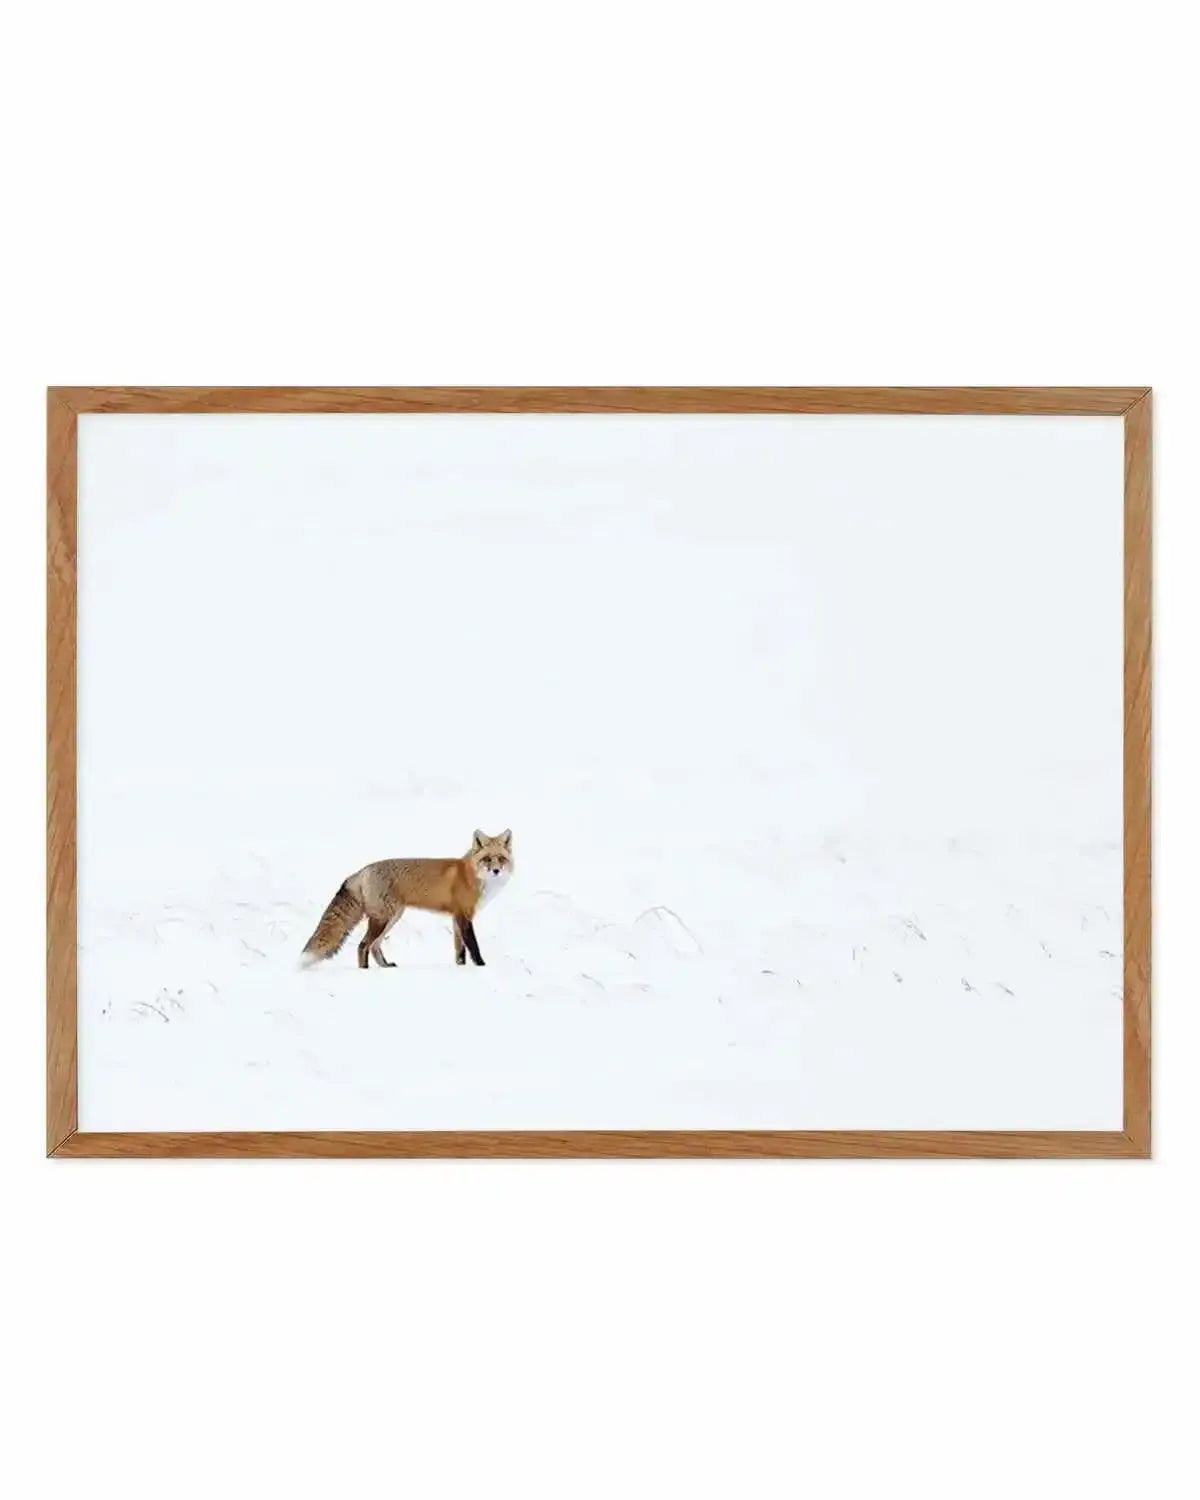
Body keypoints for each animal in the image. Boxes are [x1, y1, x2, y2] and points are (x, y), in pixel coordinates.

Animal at [301, 829, 513, 970]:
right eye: (487, 859)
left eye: (501, 859)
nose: (496, 871)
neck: (473, 876)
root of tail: (362, 871)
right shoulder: (463, 915)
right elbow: (473, 946)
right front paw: (481, 966)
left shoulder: (456, 918)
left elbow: (459, 950)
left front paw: (461, 968)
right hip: (383, 919)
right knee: (363, 945)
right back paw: (365, 971)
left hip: (391, 918)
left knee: (374, 946)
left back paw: (385, 966)